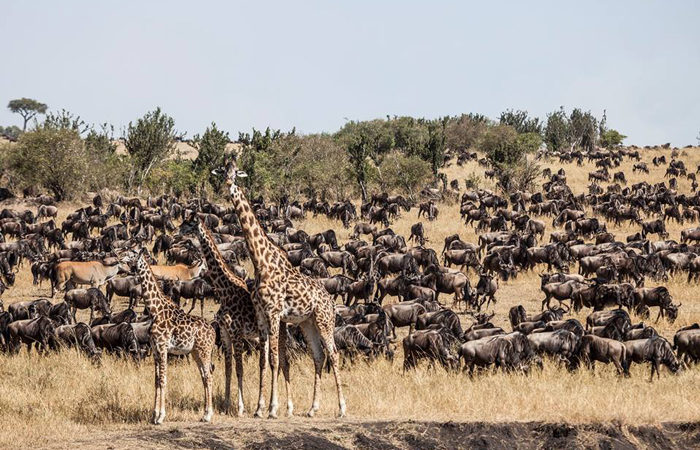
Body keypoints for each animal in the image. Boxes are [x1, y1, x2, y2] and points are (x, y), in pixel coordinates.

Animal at [124, 248, 215, 424]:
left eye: (132, 253)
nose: (121, 259)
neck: (155, 310)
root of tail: (213, 331)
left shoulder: (163, 347)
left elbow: (163, 380)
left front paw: (161, 416)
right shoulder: (155, 350)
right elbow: (156, 381)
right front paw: (153, 415)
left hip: (205, 350)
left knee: (208, 377)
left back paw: (208, 415)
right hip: (195, 352)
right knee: (203, 376)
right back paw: (204, 414)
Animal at [223, 159, 346, 418]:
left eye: (236, 173)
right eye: (222, 171)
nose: (229, 184)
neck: (260, 262)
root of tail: (330, 300)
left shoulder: (274, 313)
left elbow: (275, 360)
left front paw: (272, 408)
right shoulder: (261, 315)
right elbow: (263, 361)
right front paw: (259, 408)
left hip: (324, 321)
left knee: (333, 353)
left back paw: (342, 408)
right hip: (308, 323)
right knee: (319, 356)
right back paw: (312, 408)